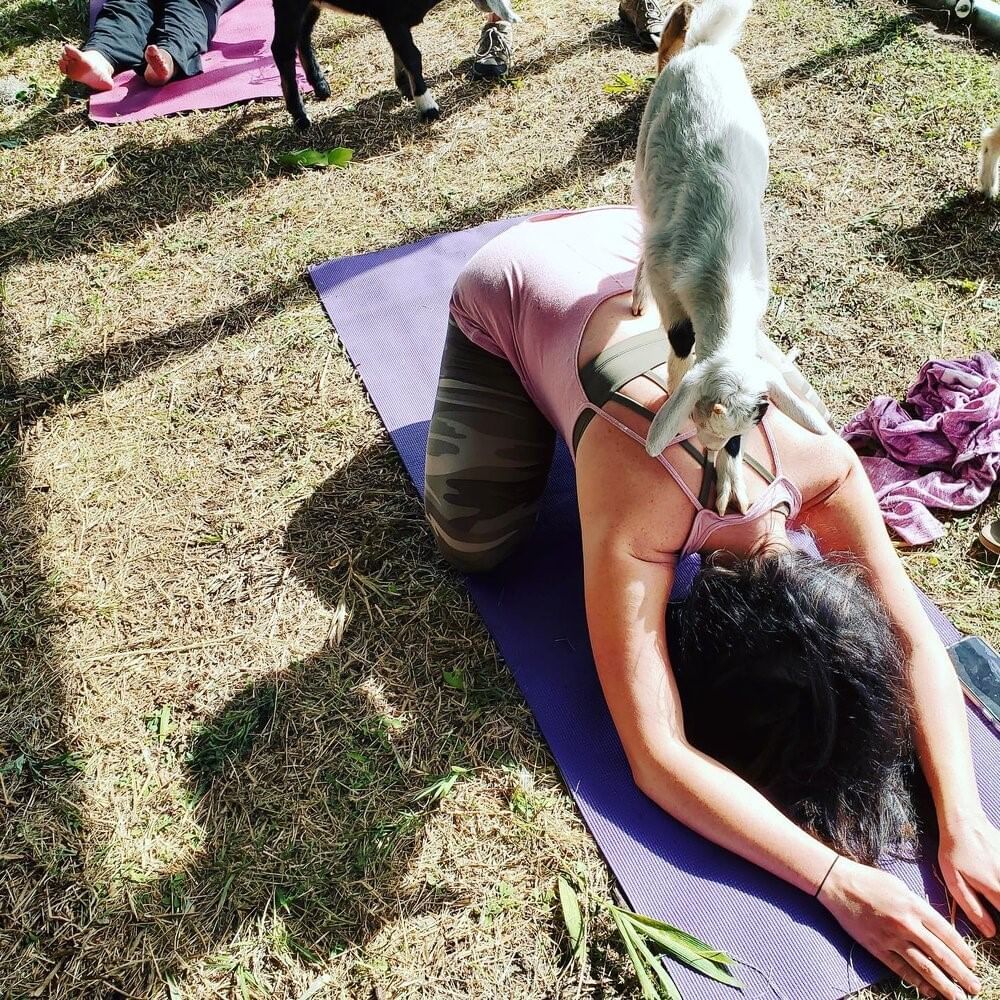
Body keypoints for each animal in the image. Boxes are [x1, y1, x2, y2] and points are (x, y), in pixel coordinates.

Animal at [632, 0, 828, 516]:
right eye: (701, 411)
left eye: (756, 420)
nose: (712, 447)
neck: (723, 278)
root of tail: (702, 48)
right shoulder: (672, 290)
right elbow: (679, 352)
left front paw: (729, 486)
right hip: (644, 156)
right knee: (642, 221)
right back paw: (636, 295)